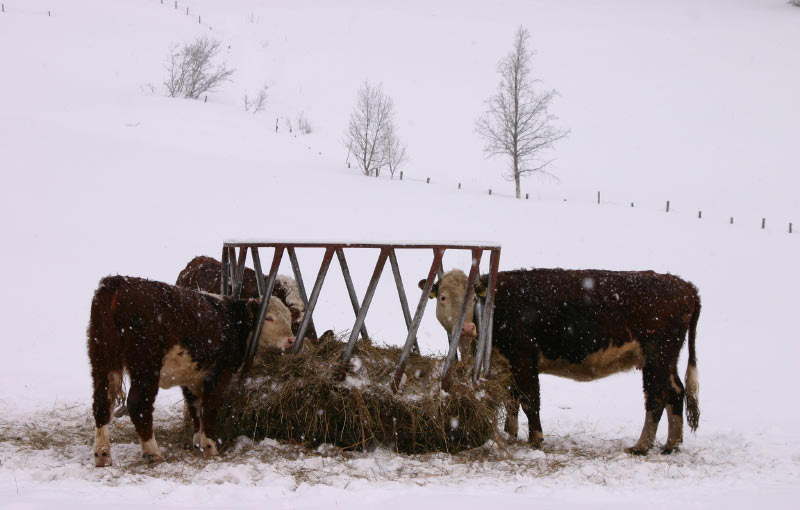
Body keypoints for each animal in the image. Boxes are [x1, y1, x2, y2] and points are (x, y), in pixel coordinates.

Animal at [88, 274, 294, 466]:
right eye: (268, 317)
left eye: (289, 317)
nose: (291, 340)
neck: (233, 321)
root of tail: (117, 282)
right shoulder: (220, 373)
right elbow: (209, 406)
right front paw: (210, 446)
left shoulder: (191, 377)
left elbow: (195, 407)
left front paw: (197, 440)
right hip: (145, 367)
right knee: (138, 405)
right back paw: (152, 452)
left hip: (101, 360)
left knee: (102, 402)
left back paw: (102, 454)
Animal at [422, 266, 704, 454]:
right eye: (444, 297)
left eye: (473, 299)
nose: (467, 328)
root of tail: (682, 284)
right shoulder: (505, 364)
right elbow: (511, 400)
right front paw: (510, 434)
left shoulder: (524, 358)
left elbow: (529, 400)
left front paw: (535, 439)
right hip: (666, 359)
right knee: (676, 392)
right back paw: (671, 444)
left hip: (657, 356)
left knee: (656, 397)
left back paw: (641, 446)